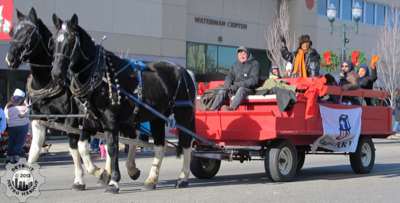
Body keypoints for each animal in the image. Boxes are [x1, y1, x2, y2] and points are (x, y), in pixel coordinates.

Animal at [5, 7, 108, 191]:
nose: (10, 59)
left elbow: (77, 148)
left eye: (29, 32)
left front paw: (91, 174)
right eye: (13, 31)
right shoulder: (38, 120)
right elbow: (34, 151)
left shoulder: (74, 120)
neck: (48, 81)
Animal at [52, 13, 197, 193]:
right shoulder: (91, 120)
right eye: (54, 40)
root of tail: (185, 71)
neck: (99, 77)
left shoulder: (111, 120)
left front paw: (113, 181)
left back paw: (182, 178)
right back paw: (151, 180)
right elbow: (82, 146)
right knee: (159, 145)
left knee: (186, 143)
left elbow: (112, 148)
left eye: (71, 40)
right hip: (157, 117)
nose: (56, 73)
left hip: (183, 115)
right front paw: (100, 173)